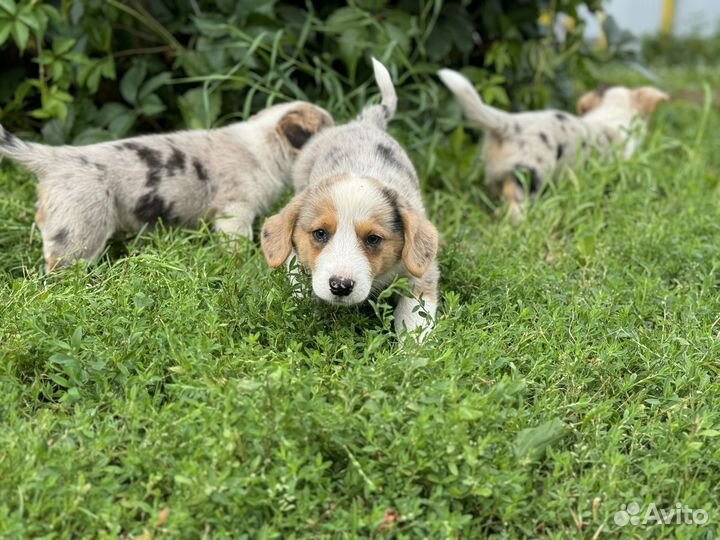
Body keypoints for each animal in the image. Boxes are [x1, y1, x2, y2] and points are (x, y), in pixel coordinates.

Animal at [258, 57, 438, 340]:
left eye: (373, 239)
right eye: (320, 233)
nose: (340, 286)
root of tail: (365, 123)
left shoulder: (421, 273)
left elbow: (415, 318)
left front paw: (412, 349)